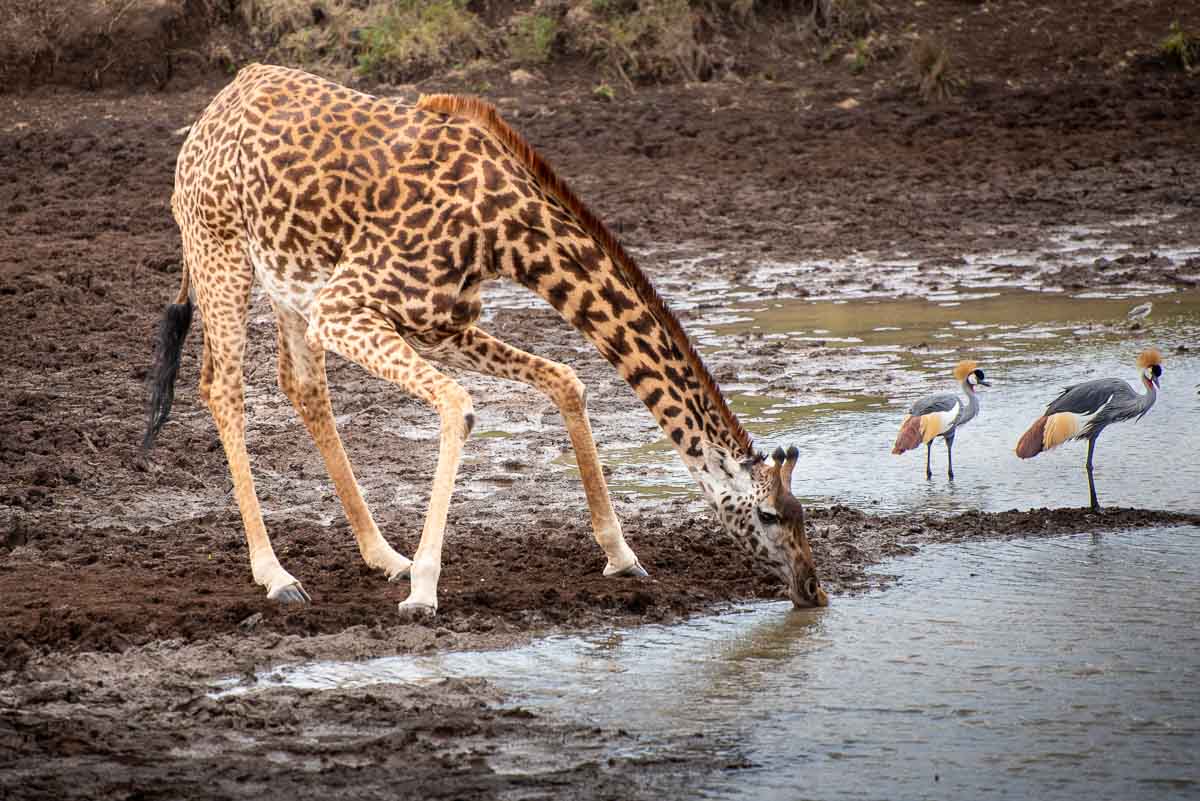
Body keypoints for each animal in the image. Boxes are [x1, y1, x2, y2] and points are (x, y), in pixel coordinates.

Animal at [142, 65, 825, 618]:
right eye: (767, 515)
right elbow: (458, 406)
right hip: (221, 256)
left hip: (290, 283)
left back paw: (382, 555)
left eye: (802, 514)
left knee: (303, 387)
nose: (813, 589)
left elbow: (566, 381)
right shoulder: (345, 309)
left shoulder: (437, 322)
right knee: (224, 388)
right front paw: (423, 593)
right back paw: (278, 576)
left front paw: (622, 555)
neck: (503, 233)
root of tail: (212, 110)